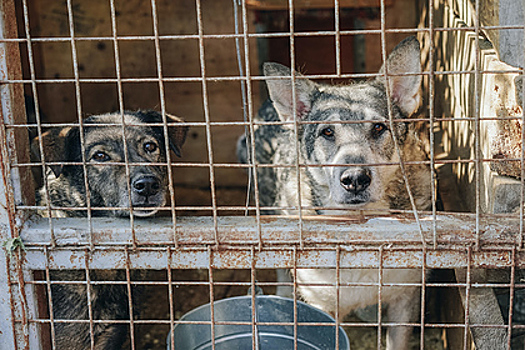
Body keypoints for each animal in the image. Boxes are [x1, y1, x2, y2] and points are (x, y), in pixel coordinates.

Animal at [236, 37, 430, 348]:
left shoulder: (405, 297)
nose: (355, 179)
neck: (358, 228)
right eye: (327, 132)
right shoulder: (323, 309)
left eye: (379, 127)